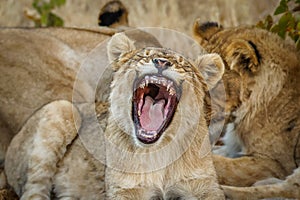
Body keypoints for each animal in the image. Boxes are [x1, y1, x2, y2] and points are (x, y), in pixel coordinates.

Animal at [2, 27, 225, 198]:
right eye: (142, 56)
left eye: (183, 64)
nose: (161, 62)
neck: (159, 151)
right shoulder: (124, 190)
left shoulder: (204, 187)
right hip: (63, 107)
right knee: (34, 189)